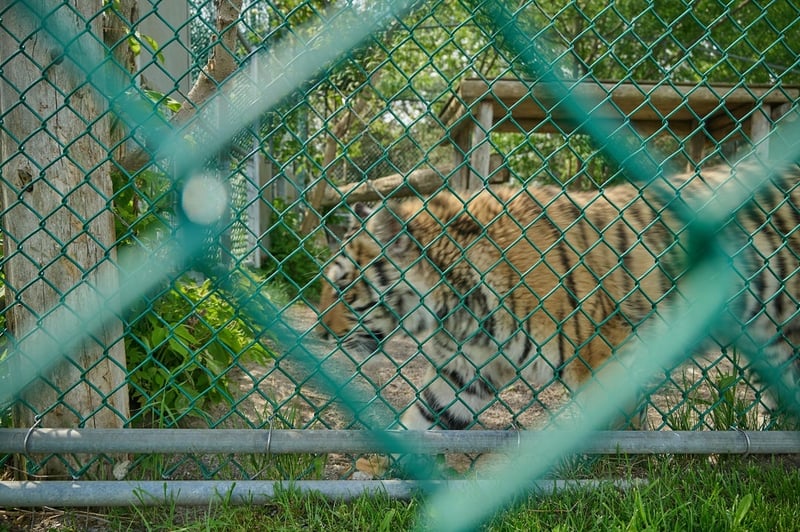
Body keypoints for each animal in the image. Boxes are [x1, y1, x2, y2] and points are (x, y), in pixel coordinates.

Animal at [318, 162, 800, 431]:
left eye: (341, 287)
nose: (319, 333)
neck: (456, 311)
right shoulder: (466, 369)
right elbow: (427, 417)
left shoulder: (605, 353)